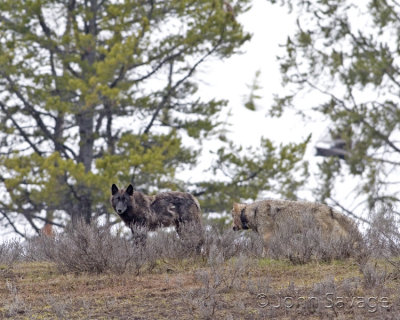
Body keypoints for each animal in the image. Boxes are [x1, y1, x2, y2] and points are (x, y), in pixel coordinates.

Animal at [230, 200, 360, 255]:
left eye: (232, 216)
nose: (232, 228)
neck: (253, 212)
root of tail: (329, 208)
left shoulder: (267, 235)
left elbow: (265, 251)